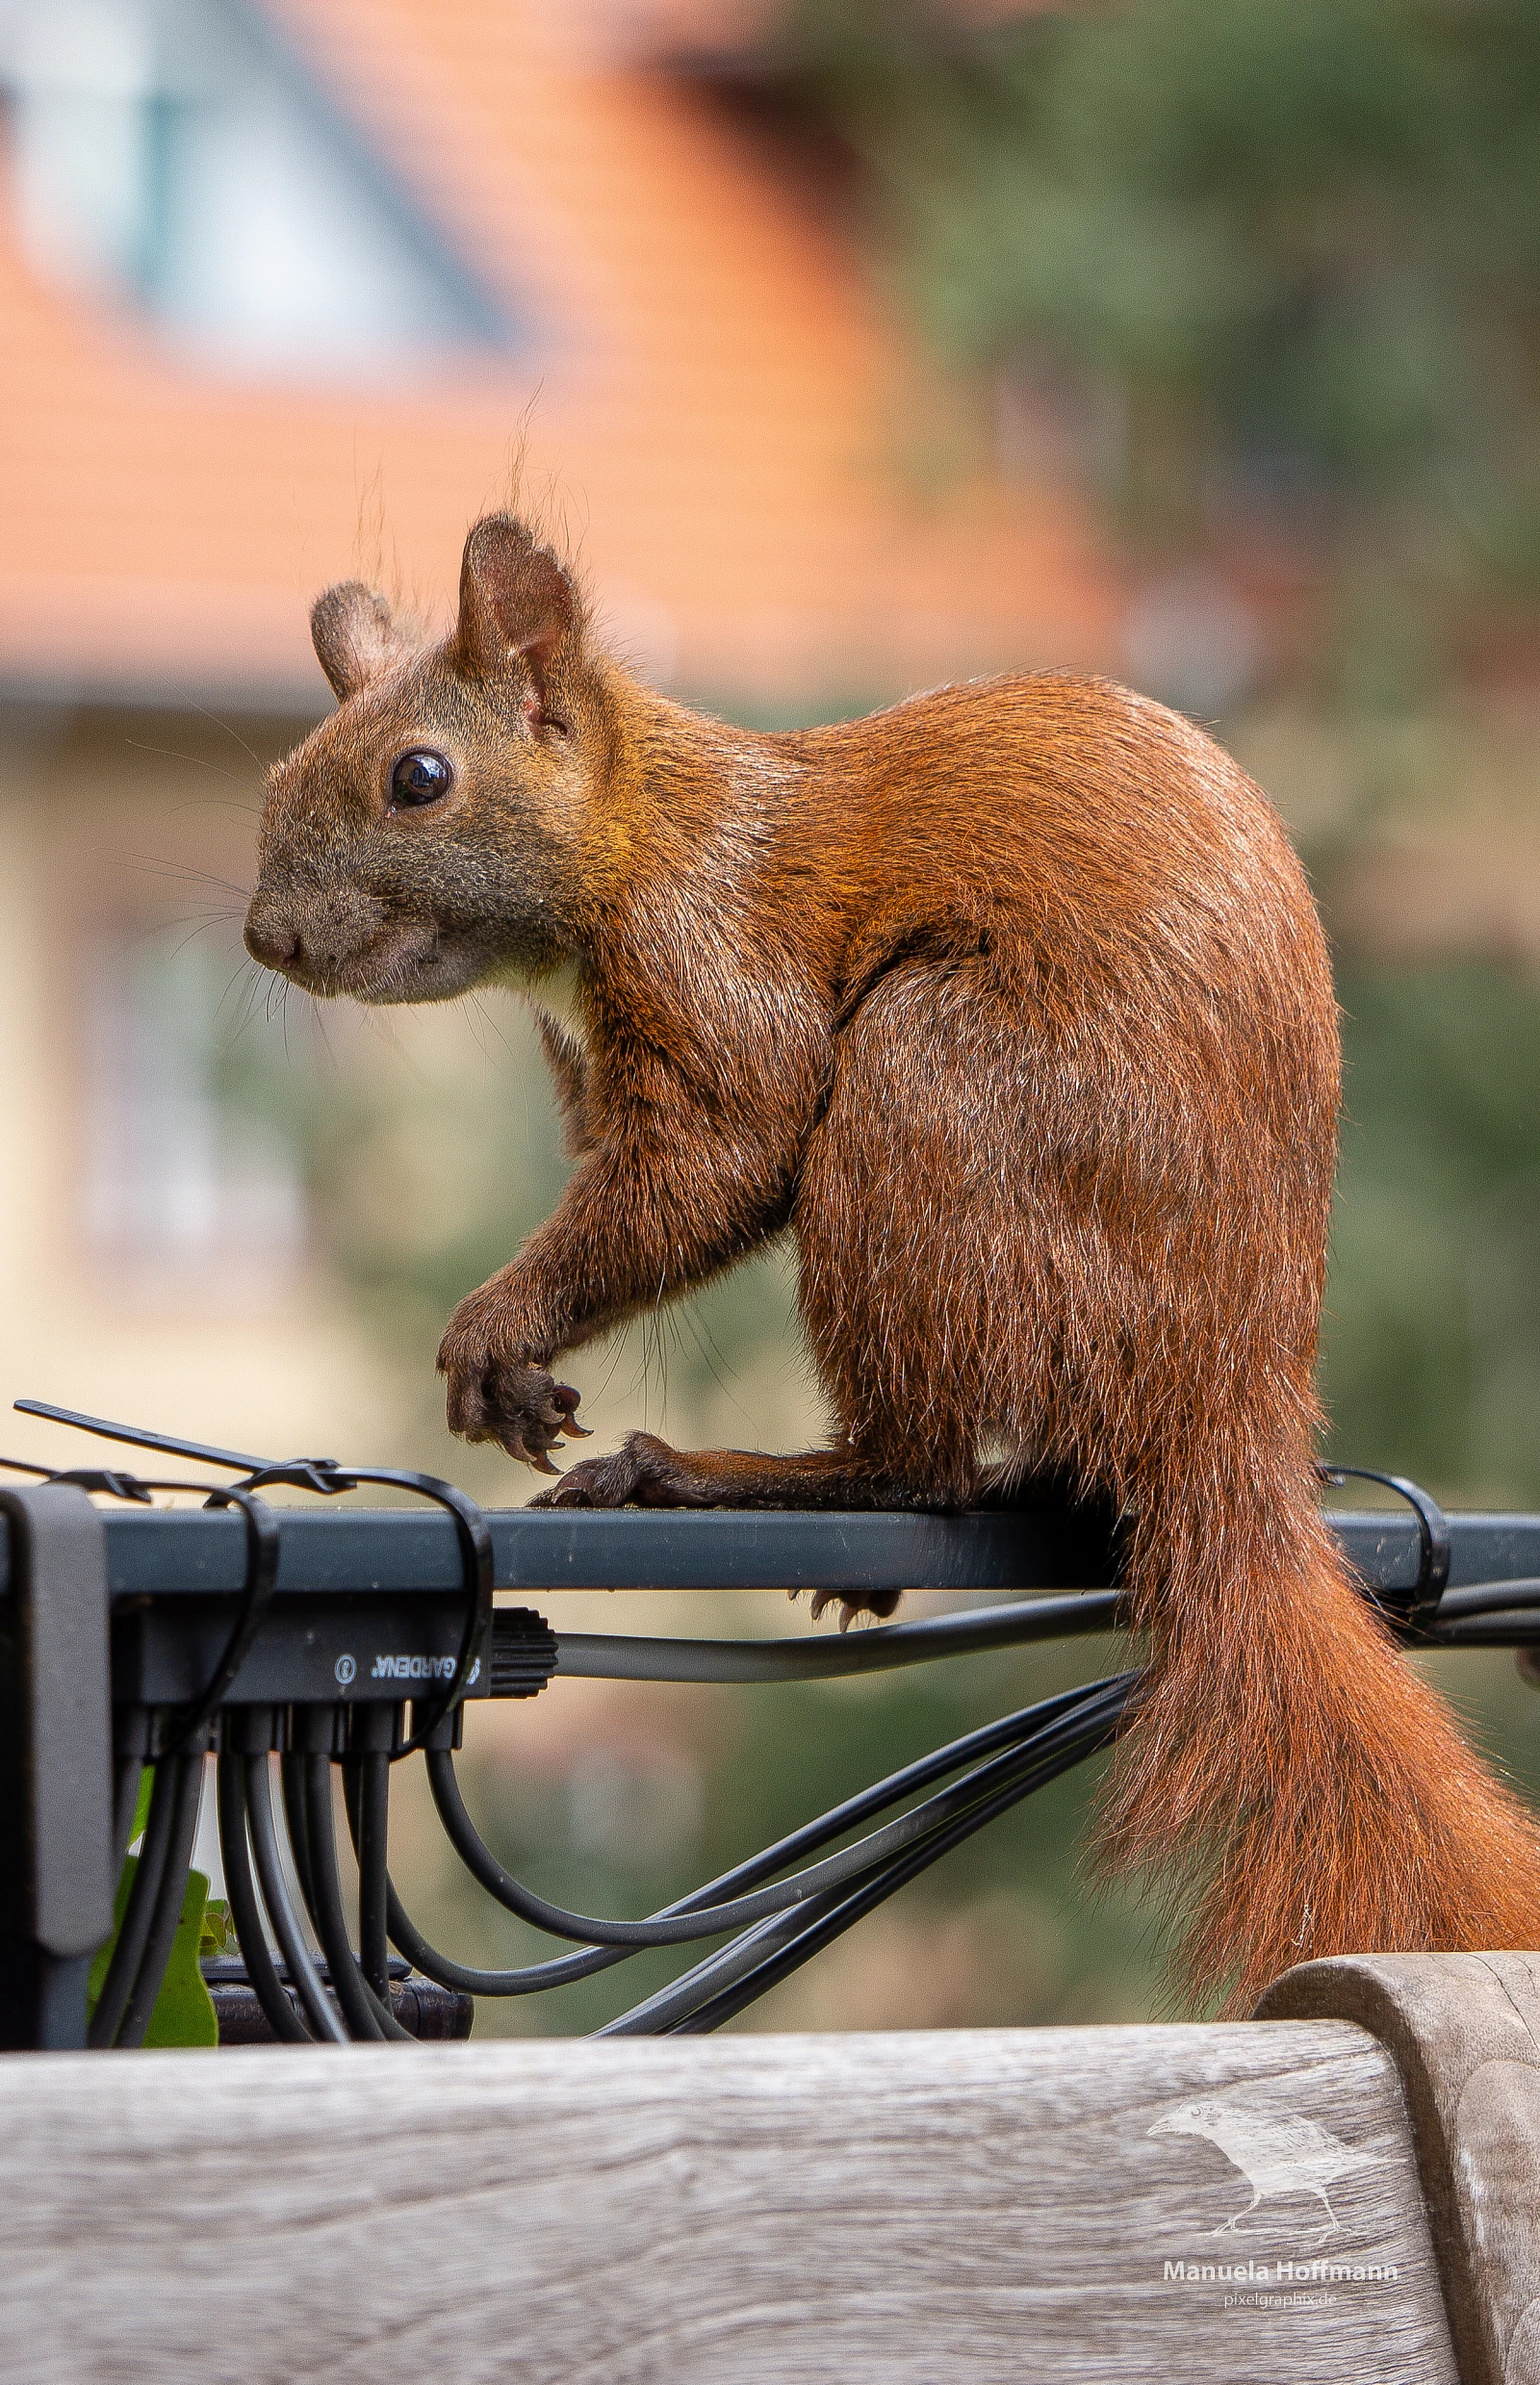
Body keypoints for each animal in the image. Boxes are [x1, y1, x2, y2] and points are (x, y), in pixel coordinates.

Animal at [245, 511, 1540, 2009]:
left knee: (921, 1458)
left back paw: (711, 1473)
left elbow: (715, 1162)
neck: (651, 832)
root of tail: (1232, 1404)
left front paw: (495, 1333)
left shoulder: (718, 964)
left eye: (420, 778)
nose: (268, 937)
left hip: (930, 1096)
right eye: (277, 773)